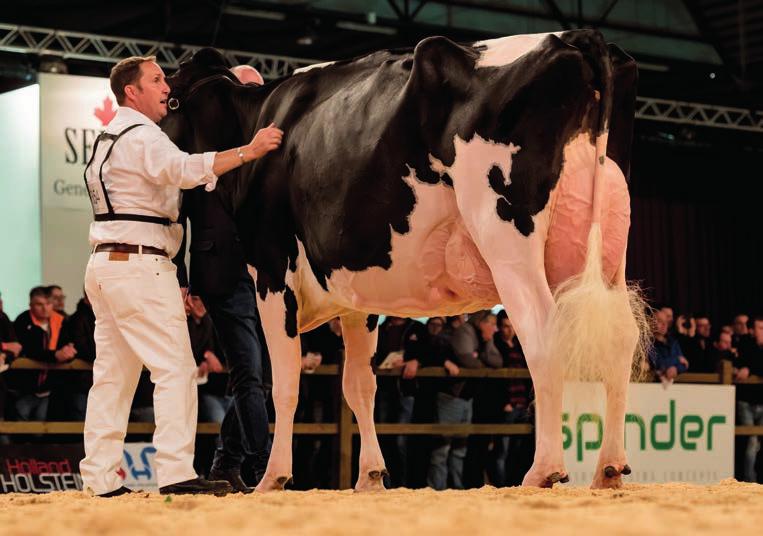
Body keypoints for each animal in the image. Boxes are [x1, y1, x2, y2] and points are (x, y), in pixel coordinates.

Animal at [164, 28, 648, 490]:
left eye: (170, 96)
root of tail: (575, 38)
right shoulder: (356, 296)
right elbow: (359, 385)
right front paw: (371, 476)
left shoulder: (271, 271)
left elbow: (285, 385)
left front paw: (273, 477)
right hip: (612, 243)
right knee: (620, 337)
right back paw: (609, 467)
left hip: (506, 234)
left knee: (544, 334)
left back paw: (543, 470)